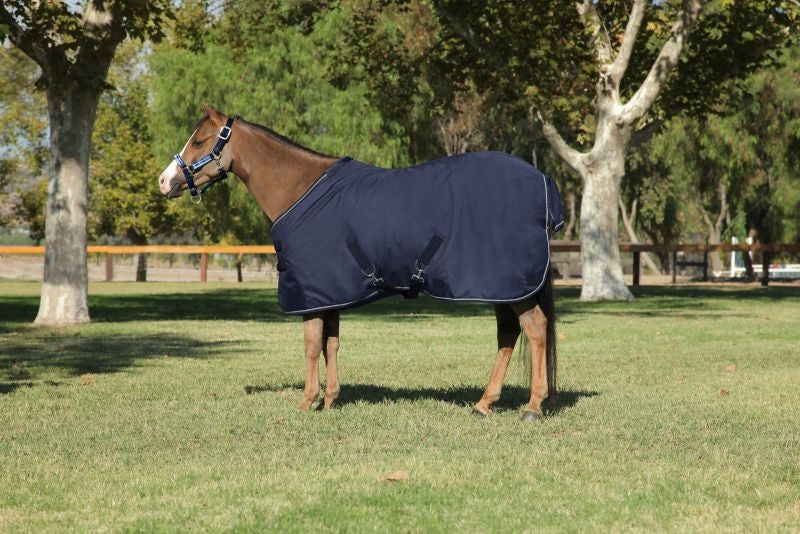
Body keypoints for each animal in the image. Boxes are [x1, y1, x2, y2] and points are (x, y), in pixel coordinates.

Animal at [158, 105, 563, 420]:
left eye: (198, 141)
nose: (164, 181)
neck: (300, 189)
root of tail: (542, 180)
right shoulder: (329, 292)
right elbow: (331, 343)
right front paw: (330, 400)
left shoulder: (311, 293)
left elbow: (311, 344)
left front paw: (306, 403)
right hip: (504, 288)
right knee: (508, 335)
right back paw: (484, 403)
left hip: (511, 285)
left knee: (536, 329)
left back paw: (533, 407)